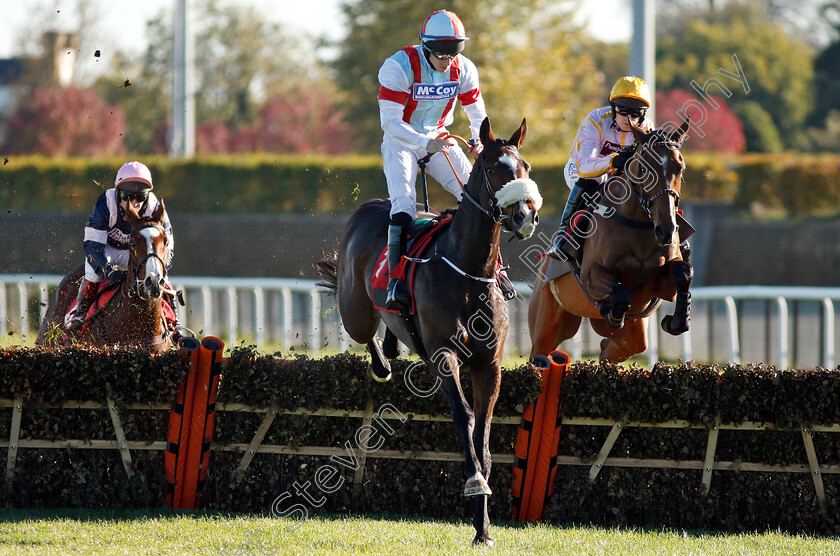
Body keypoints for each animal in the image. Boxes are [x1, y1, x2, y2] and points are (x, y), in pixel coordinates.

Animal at [316, 117, 544, 544]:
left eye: (526, 167)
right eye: (493, 168)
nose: (525, 216)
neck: (468, 272)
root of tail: (372, 206)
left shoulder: (489, 364)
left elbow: (483, 433)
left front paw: (483, 527)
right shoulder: (444, 354)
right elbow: (464, 417)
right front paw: (474, 482)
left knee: (391, 332)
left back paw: (393, 345)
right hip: (355, 309)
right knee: (365, 333)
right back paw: (382, 364)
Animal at [528, 119, 692, 362]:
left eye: (680, 169)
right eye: (645, 168)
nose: (666, 230)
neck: (637, 226)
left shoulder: (661, 286)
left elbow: (683, 274)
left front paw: (678, 320)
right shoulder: (590, 275)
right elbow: (621, 295)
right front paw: (610, 310)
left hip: (634, 330)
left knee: (621, 347)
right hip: (546, 325)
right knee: (539, 353)